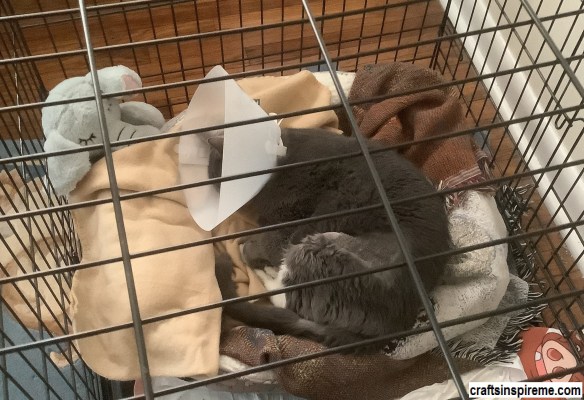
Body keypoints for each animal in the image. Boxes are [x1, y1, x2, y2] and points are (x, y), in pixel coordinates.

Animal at [209, 128, 450, 353]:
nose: (213, 185)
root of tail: (392, 326)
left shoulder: (294, 213)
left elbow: (269, 244)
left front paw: (252, 249)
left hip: (320, 248)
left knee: (286, 296)